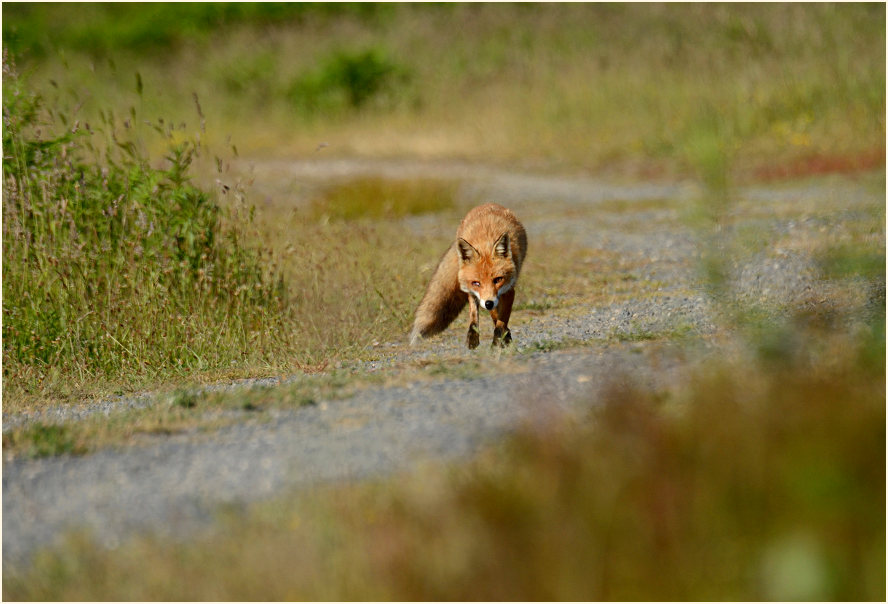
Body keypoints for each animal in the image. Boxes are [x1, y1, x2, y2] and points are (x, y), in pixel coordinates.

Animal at [412, 203, 528, 350]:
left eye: (498, 280)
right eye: (476, 283)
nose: (488, 303)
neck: (485, 242)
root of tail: (487, 203)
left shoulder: (509, 290)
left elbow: (502, 321)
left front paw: (499, 340)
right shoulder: (472, 291)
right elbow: (479, 316)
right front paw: (475, 338)